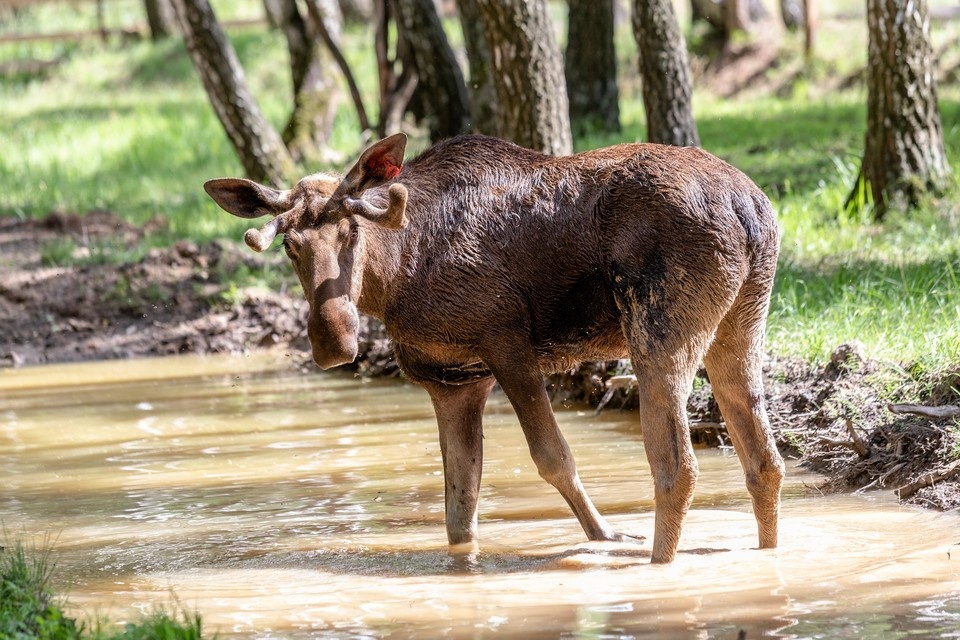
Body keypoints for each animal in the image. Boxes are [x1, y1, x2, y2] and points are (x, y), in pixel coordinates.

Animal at [204, 133, 784, 564]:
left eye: (352, 232)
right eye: (289, 245)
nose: (333, 341)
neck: (395, 277)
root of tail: (749, 210)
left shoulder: (507, 345)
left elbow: (553, 458)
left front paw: (608, 536)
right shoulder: (453, 381)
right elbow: (460, 508)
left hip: (658, 332)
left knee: (676, 466)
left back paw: (657, 564)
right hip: (742, 323)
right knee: (764, 461)